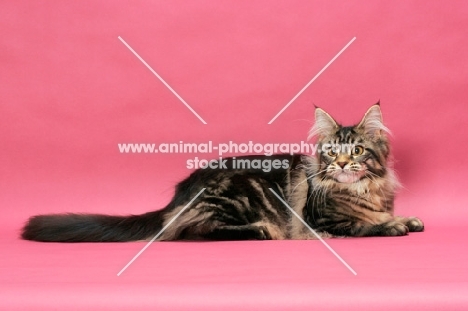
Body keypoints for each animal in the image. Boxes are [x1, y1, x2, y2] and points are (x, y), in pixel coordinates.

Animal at [21, 103, 424, 243]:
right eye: (331, 152)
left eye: (356, 150)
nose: (341, 165)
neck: (363, 190)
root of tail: (181, 193)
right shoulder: (319, 221)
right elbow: (360, 224)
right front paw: (392, 226)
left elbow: (383, 215)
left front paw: (406, 218)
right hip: (237, 196)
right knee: (191, 232)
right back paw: (260, 231)